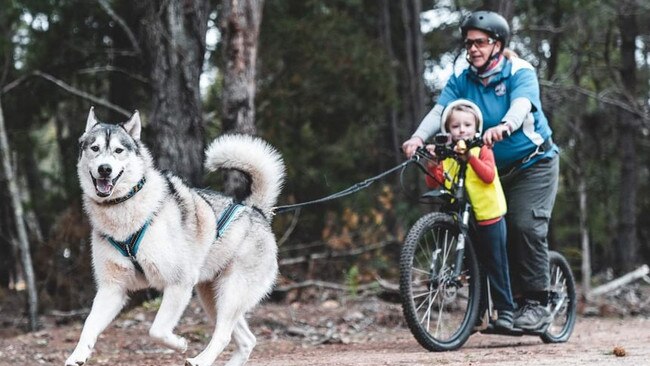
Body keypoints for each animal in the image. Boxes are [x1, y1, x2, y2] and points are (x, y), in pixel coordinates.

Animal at [65, 106, 284, 366]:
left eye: (118, 150)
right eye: (95, 148)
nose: (105, 169)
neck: (124, 214)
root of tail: (256, 210)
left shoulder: (179, 283)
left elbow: (157, 330)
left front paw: (180, 344)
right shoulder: (112, 289)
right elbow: (88, 326)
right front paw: (77, 356)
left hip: (230, 294)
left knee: (223, 335)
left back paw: (200, 360)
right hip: (212, 297)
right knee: (246, 339)